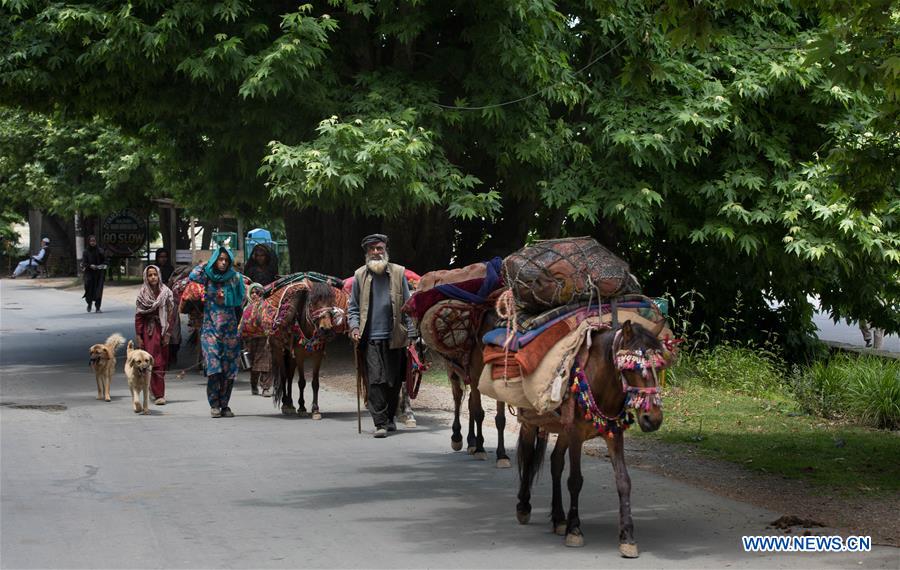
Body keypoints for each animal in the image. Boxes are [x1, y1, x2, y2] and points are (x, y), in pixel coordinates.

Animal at [512, 320, 668, 556]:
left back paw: (559, 518)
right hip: (532, 422)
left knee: (555, 462)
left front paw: (627, 537)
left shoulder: (614, 435)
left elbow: (624, 481)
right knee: (529, 458)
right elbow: (575, 481)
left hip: (563, 429)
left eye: (658, 368)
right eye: (630, 368)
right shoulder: (576, 434)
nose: (653, 419)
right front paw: (575, 530)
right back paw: (524, 507)